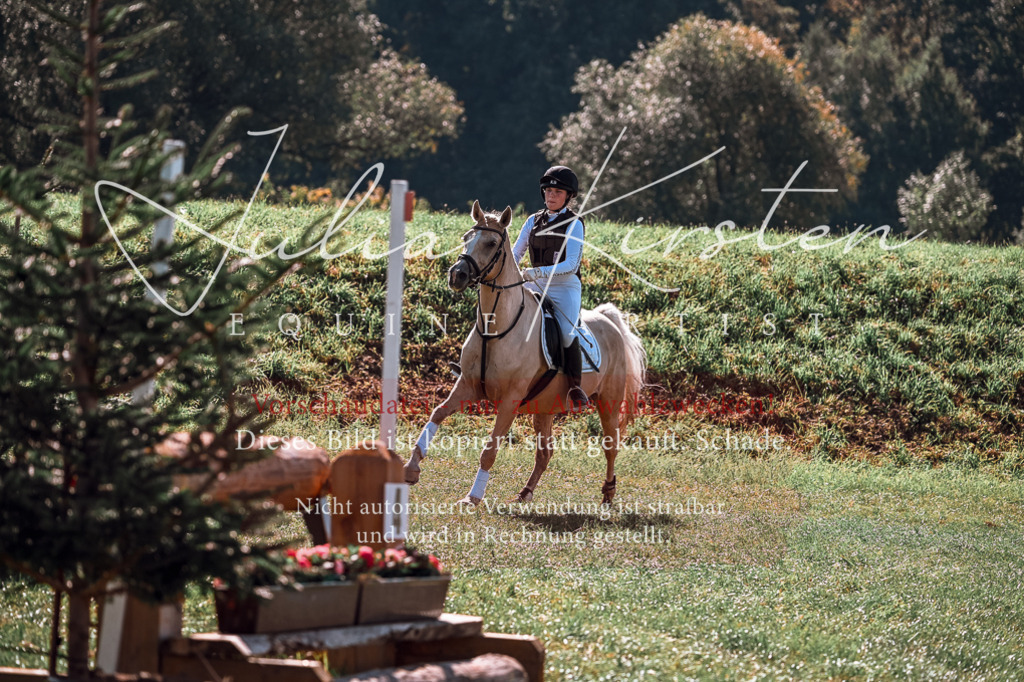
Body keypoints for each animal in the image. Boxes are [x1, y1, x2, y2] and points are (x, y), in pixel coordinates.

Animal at [404, 200, 646, 505]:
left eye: (491, 243)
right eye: (466, 237)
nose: (457, 275)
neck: (496, 326)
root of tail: (609, 321)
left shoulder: (510, 398)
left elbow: (490, 449)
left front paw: (473, 497)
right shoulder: (467, 385)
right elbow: (436, 415)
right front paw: (411, 468)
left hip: (608, 401)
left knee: (610, 445)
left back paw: (608, 494)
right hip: (545, 405)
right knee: (545, 452)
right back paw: (525, 492)